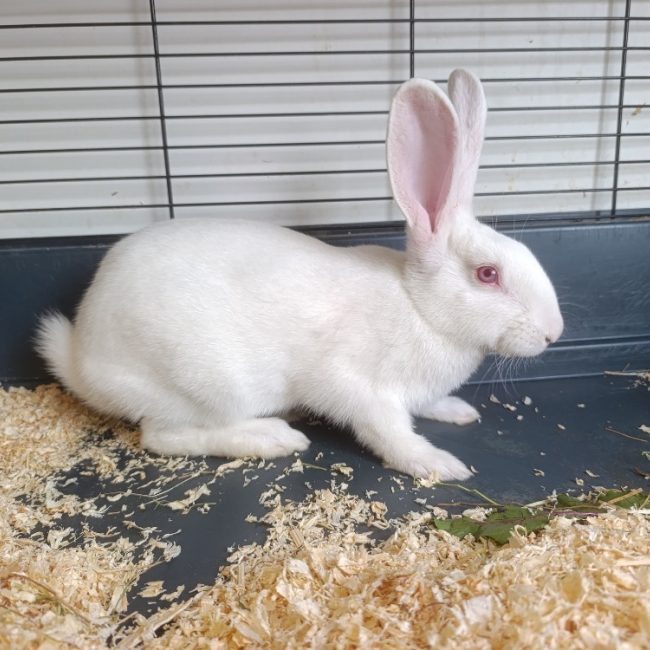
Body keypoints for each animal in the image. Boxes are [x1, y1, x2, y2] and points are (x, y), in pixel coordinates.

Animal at [35, 69, 563, 481]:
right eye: (488, 274)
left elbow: (424, 405)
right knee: (164, 436)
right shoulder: (358, 387)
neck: (420, 308)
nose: (553, 334)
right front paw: (438, 464)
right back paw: (272, 437)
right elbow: (389, 433)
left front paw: (457, 411)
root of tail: (82, 361)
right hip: (209, 384)